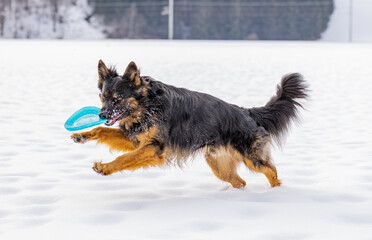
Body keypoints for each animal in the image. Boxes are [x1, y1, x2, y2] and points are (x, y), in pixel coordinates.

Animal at [70, 60, 308, 189]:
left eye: (118, 98)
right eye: (103, 97)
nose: (101, 114)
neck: (147, 106)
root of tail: (245, 111)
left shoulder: (154, 148)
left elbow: (124, 158)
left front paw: (105, 167)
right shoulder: (137, 141)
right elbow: (102, 131)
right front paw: (82, 136)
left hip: (251, 159)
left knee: (271, 170)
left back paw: (276, 193)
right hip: (219, 166)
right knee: (240, 181)